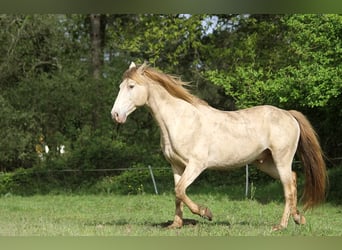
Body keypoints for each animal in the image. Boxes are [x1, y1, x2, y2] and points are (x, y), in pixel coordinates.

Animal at [111, 62, 328, 230]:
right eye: (120, 86)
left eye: (131, 86)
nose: (115, 115)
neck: (180, 120)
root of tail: (288, 114)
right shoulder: (177, 166)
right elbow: (177, 194)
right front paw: (176, 225)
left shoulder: (196, 165)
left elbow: (180, 190)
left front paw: (206, 213)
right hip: (264, 163)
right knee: (293, 179)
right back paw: (298, 218)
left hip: (281, 159)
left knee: (288, 188)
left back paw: (281, 226)